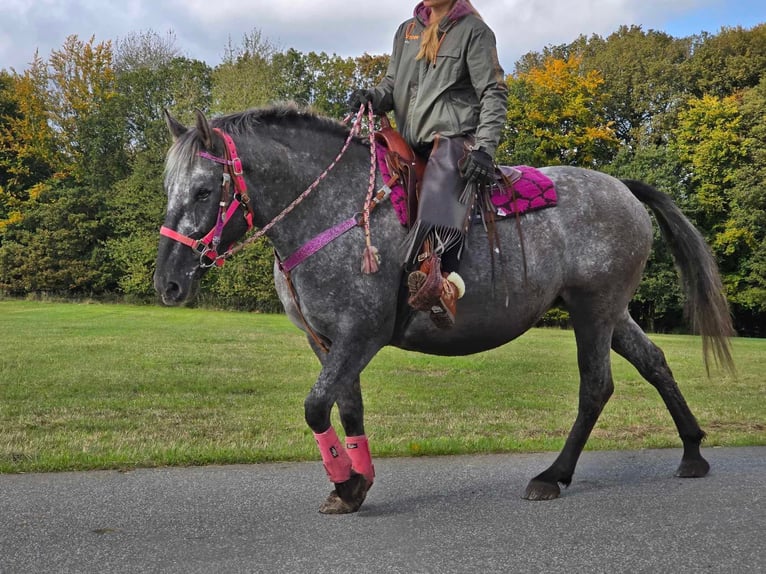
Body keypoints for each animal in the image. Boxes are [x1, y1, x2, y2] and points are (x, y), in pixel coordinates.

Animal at [156, 106, 736, 516]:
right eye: (169, 189)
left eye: (204, 190)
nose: (168, 282)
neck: (337, 211)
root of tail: (622, 187)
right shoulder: (326, 341)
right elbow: (348, 409)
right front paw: (355, 484)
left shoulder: (360, 334)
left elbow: (316, 408)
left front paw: (345, 480)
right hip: (610, 312)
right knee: (655, 361)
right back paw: (692, 452)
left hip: (594, 310)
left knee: (596, 386)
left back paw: (553, 475)